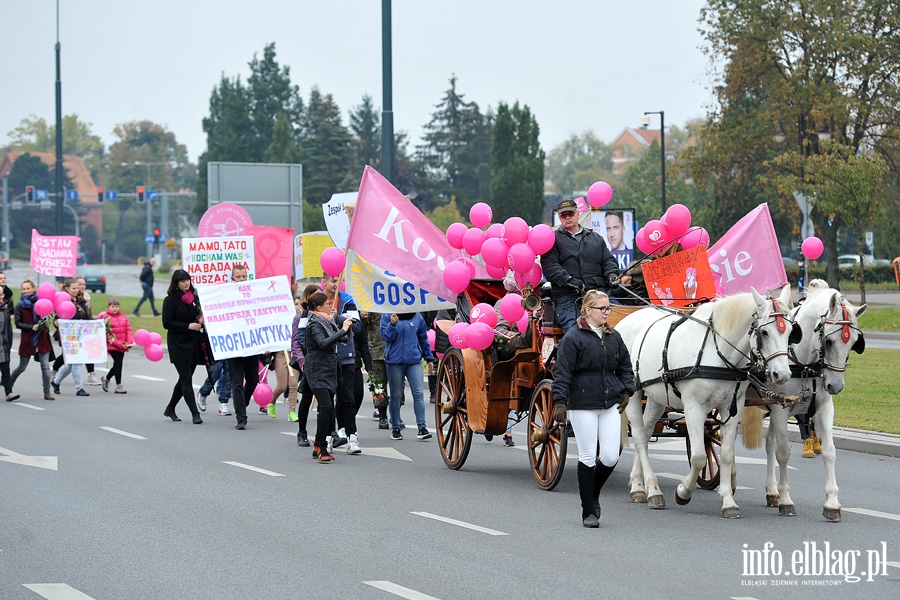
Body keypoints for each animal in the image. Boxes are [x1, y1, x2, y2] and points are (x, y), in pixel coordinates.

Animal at [620, 286, 796, 516]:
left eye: (791, 331)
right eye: (764, 333)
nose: (782, 375)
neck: (716, 350)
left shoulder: (732, 408)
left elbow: (727, 454)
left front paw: (728, 501)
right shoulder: (693, 408)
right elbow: (699, 456)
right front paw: (683, 492)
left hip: (657, 397)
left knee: (647, 431)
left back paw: (640, 486)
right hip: (633, 394)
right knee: (640, 437)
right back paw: (652, 491)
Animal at [740, 282, 868, 520]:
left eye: (855, 343)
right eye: (829, 340)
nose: (835, 386)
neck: (804, 365)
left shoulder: (823, 409)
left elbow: (829, 452)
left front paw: (832, 503)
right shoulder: (780, 410)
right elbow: (783, 453)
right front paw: (787, 500)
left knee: (769, 443)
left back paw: (772, 491)